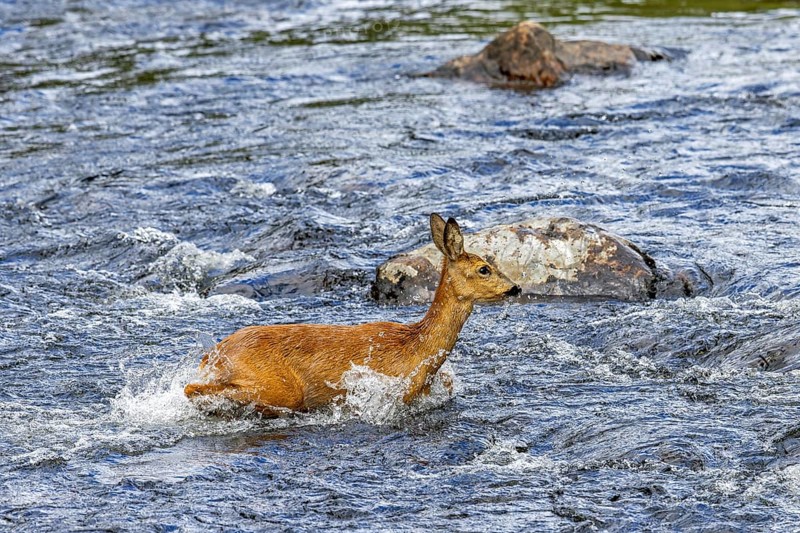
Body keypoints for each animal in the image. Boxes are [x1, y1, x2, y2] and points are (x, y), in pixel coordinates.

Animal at [184, 214, 521, 416]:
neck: (417, 349)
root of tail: (213, 355)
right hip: (277, 386)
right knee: (192, 388)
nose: (515, 287)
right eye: (484, 268)